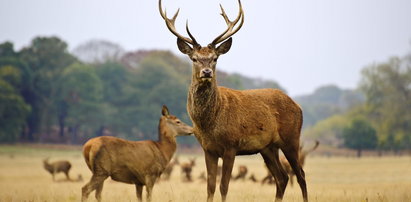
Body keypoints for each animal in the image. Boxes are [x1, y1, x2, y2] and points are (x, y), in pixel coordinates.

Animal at [159, 0, 308, 201]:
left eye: (215, 58)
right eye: (194, 58)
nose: (207, 72)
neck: (209, 123)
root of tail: (298, 106)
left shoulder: (231, 146)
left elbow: (224, 186)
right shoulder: (208, 149)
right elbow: (210, 186)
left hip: (291, 138)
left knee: (300, 175)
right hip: (268, 147)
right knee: (282, 177)